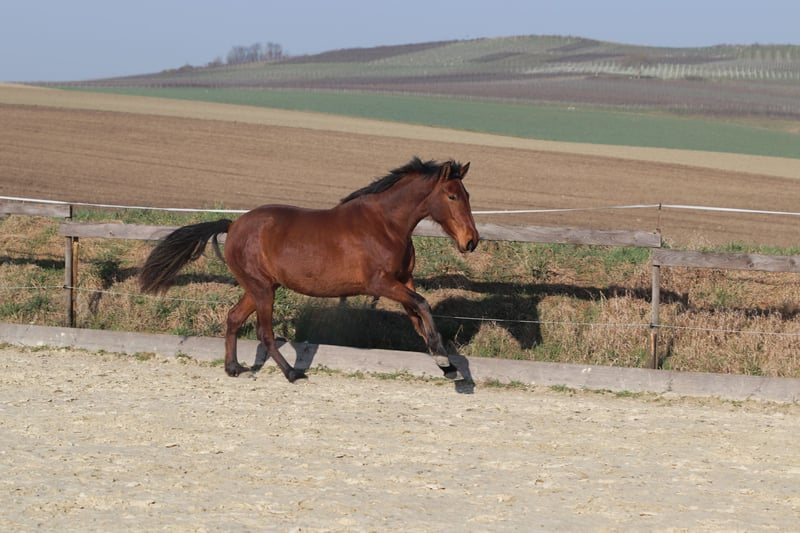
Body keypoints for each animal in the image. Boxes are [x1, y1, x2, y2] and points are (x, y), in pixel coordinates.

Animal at [139, 157, 479, 382]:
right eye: (451, 195)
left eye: (467, 195)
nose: (471, 241)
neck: (386, 225)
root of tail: (233, 225)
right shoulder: (380, 283)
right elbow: (422, 305)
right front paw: (444, 358)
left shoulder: (403, 280)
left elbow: (418, 314)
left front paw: (445, 363)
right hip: (262, 289)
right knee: (264, 332)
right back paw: (291, 373)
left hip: (260, 287)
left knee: (234, 318)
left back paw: (234, 368)